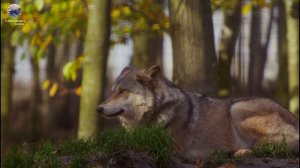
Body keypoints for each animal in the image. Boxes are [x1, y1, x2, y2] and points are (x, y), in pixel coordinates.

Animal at [97, 65, 298, 161]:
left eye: (122, 91)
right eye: (112, 91)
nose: (98, 108)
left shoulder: (166, 146)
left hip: (237, 109)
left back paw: (239, 151)